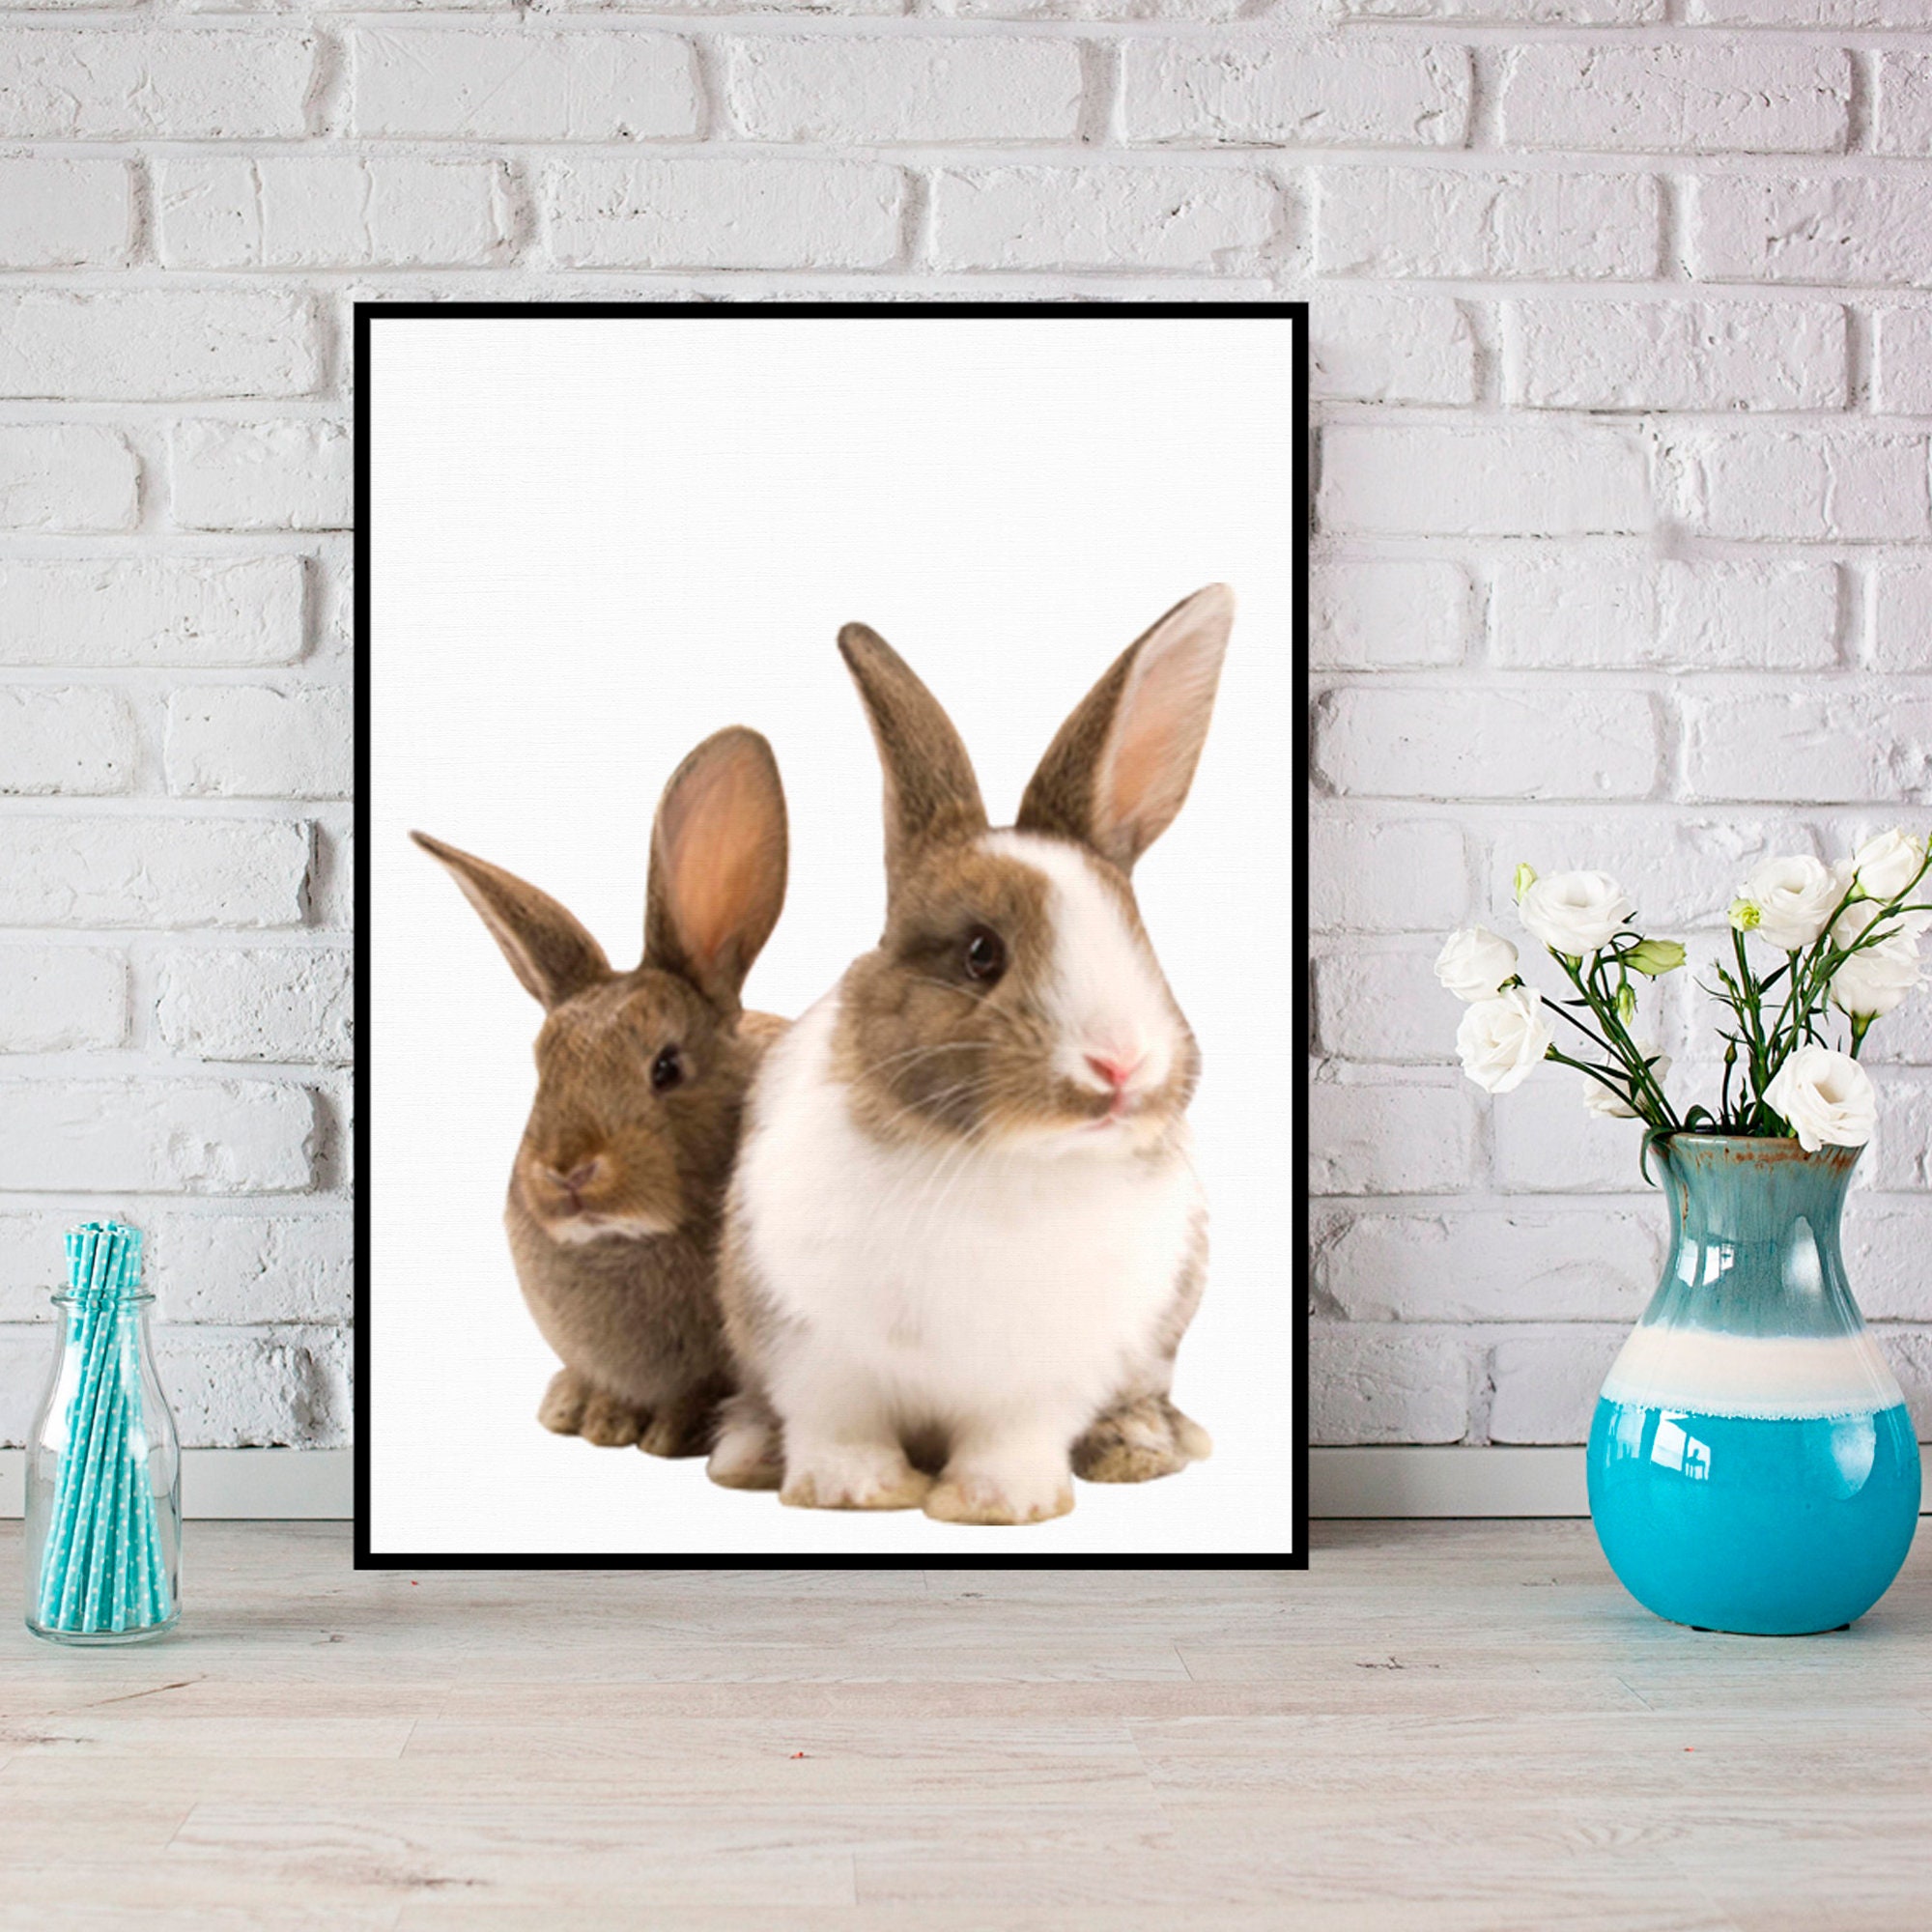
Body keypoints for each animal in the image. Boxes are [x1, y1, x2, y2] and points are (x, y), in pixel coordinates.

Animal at [707, 587, 1232, 1524]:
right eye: (981, 953)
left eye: (1139, 939)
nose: (1120, 1067)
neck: (1003, 1162)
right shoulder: (812, 1350)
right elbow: (838, 1425)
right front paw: (852, 1493)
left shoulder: (1042, 1375)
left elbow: (1012, 1437)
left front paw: (1002, 1504)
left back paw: (1139, 1447)